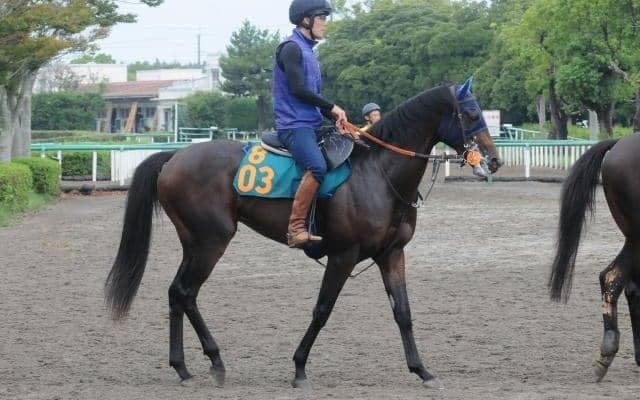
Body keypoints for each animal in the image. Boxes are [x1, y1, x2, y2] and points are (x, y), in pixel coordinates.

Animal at [105, 79, 503, 389]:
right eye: (470, 114)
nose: (494, 160)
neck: (377, 174)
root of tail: (174, 158)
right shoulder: (343, 256)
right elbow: (322, 310)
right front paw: (298, 368)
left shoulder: (391, 254)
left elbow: (402, 312)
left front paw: (422, 370)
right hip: (210, 242)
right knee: (186, 292)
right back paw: (214, 362)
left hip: (195, 243)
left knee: (178, 293)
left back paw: (184, 367)